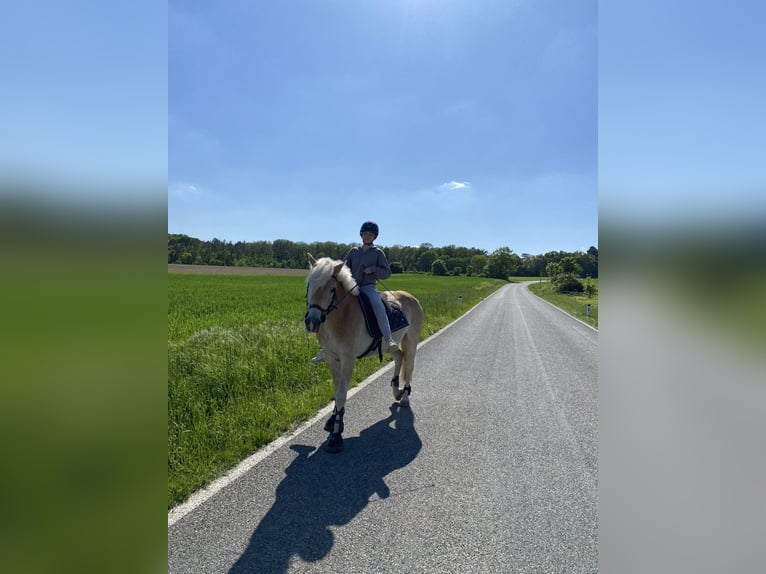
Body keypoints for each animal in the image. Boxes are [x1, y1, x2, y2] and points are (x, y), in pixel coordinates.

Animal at [306, 255, 426, 454]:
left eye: (331, 289)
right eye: (309, 285)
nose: (312, 322)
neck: (340, 316)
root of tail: (411, 297)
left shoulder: (348, 359)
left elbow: (342, 394)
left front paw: (336, 436)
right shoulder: (332, 358)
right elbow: (337, 390)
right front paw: (333, 421)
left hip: (411, 341)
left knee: (409, 366)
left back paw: (404, 397)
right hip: (390, 345)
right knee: (399, 356)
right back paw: (396, 391)